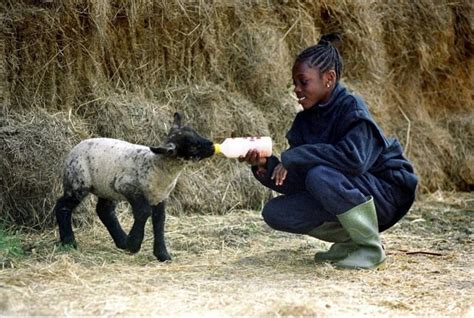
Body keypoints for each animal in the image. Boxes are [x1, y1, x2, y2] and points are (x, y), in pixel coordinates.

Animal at [52, 112, 214, 260]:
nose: (212, 146)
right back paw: (69, 241)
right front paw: (134, 244)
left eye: (196, 132)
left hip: (106, 187)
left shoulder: (160, 197)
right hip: (78, 181)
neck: (157, 165)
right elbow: (144, 212)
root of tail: (74, 148)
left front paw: (162, 254)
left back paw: (121, 241)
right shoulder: (127, 186)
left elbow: (159, 221)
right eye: (192, 146)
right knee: (62, 206)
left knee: (104, 210)